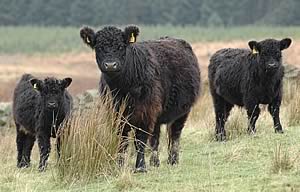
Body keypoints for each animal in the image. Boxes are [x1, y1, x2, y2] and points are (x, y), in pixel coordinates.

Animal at [81, 25, 200, 172]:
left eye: (121, 46)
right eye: (99, 47)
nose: (110, 64)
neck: (122, 89)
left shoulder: (145, 112)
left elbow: (140, 140)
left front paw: (140, 167)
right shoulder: (117, 114)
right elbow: (122, 140)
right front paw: (119, 165)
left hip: (182, 111)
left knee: (175, 135)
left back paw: (173, 160)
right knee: (156, 137)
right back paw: (155, 162)